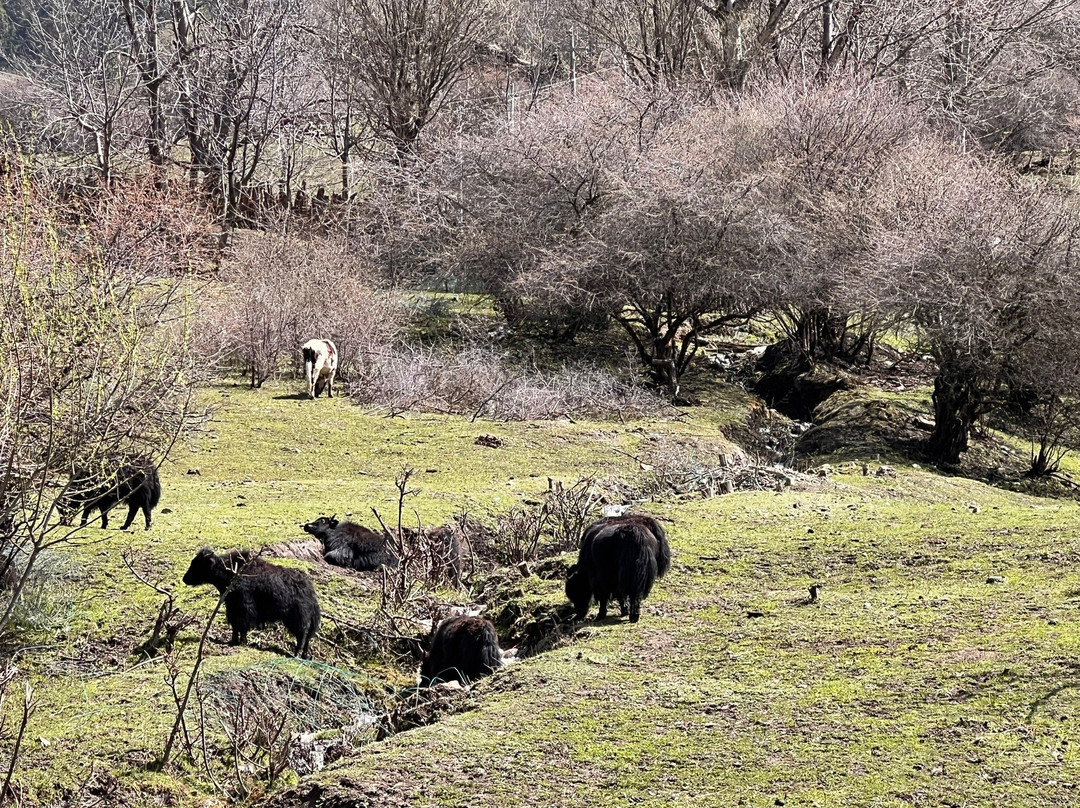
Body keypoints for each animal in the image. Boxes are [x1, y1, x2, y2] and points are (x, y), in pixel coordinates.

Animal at [183, 548, 319, 656]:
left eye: (198, 564)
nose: (184, 579)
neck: (229, 571)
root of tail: (310, 591)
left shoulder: (244, 607)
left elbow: (242, 625)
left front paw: (242, 642)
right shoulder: (232, 607)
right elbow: (235, 625)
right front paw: (233, 641)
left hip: (298, 619)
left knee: (302, 635)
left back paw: (296, 654)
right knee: (307, 638)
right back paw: (304, 655)